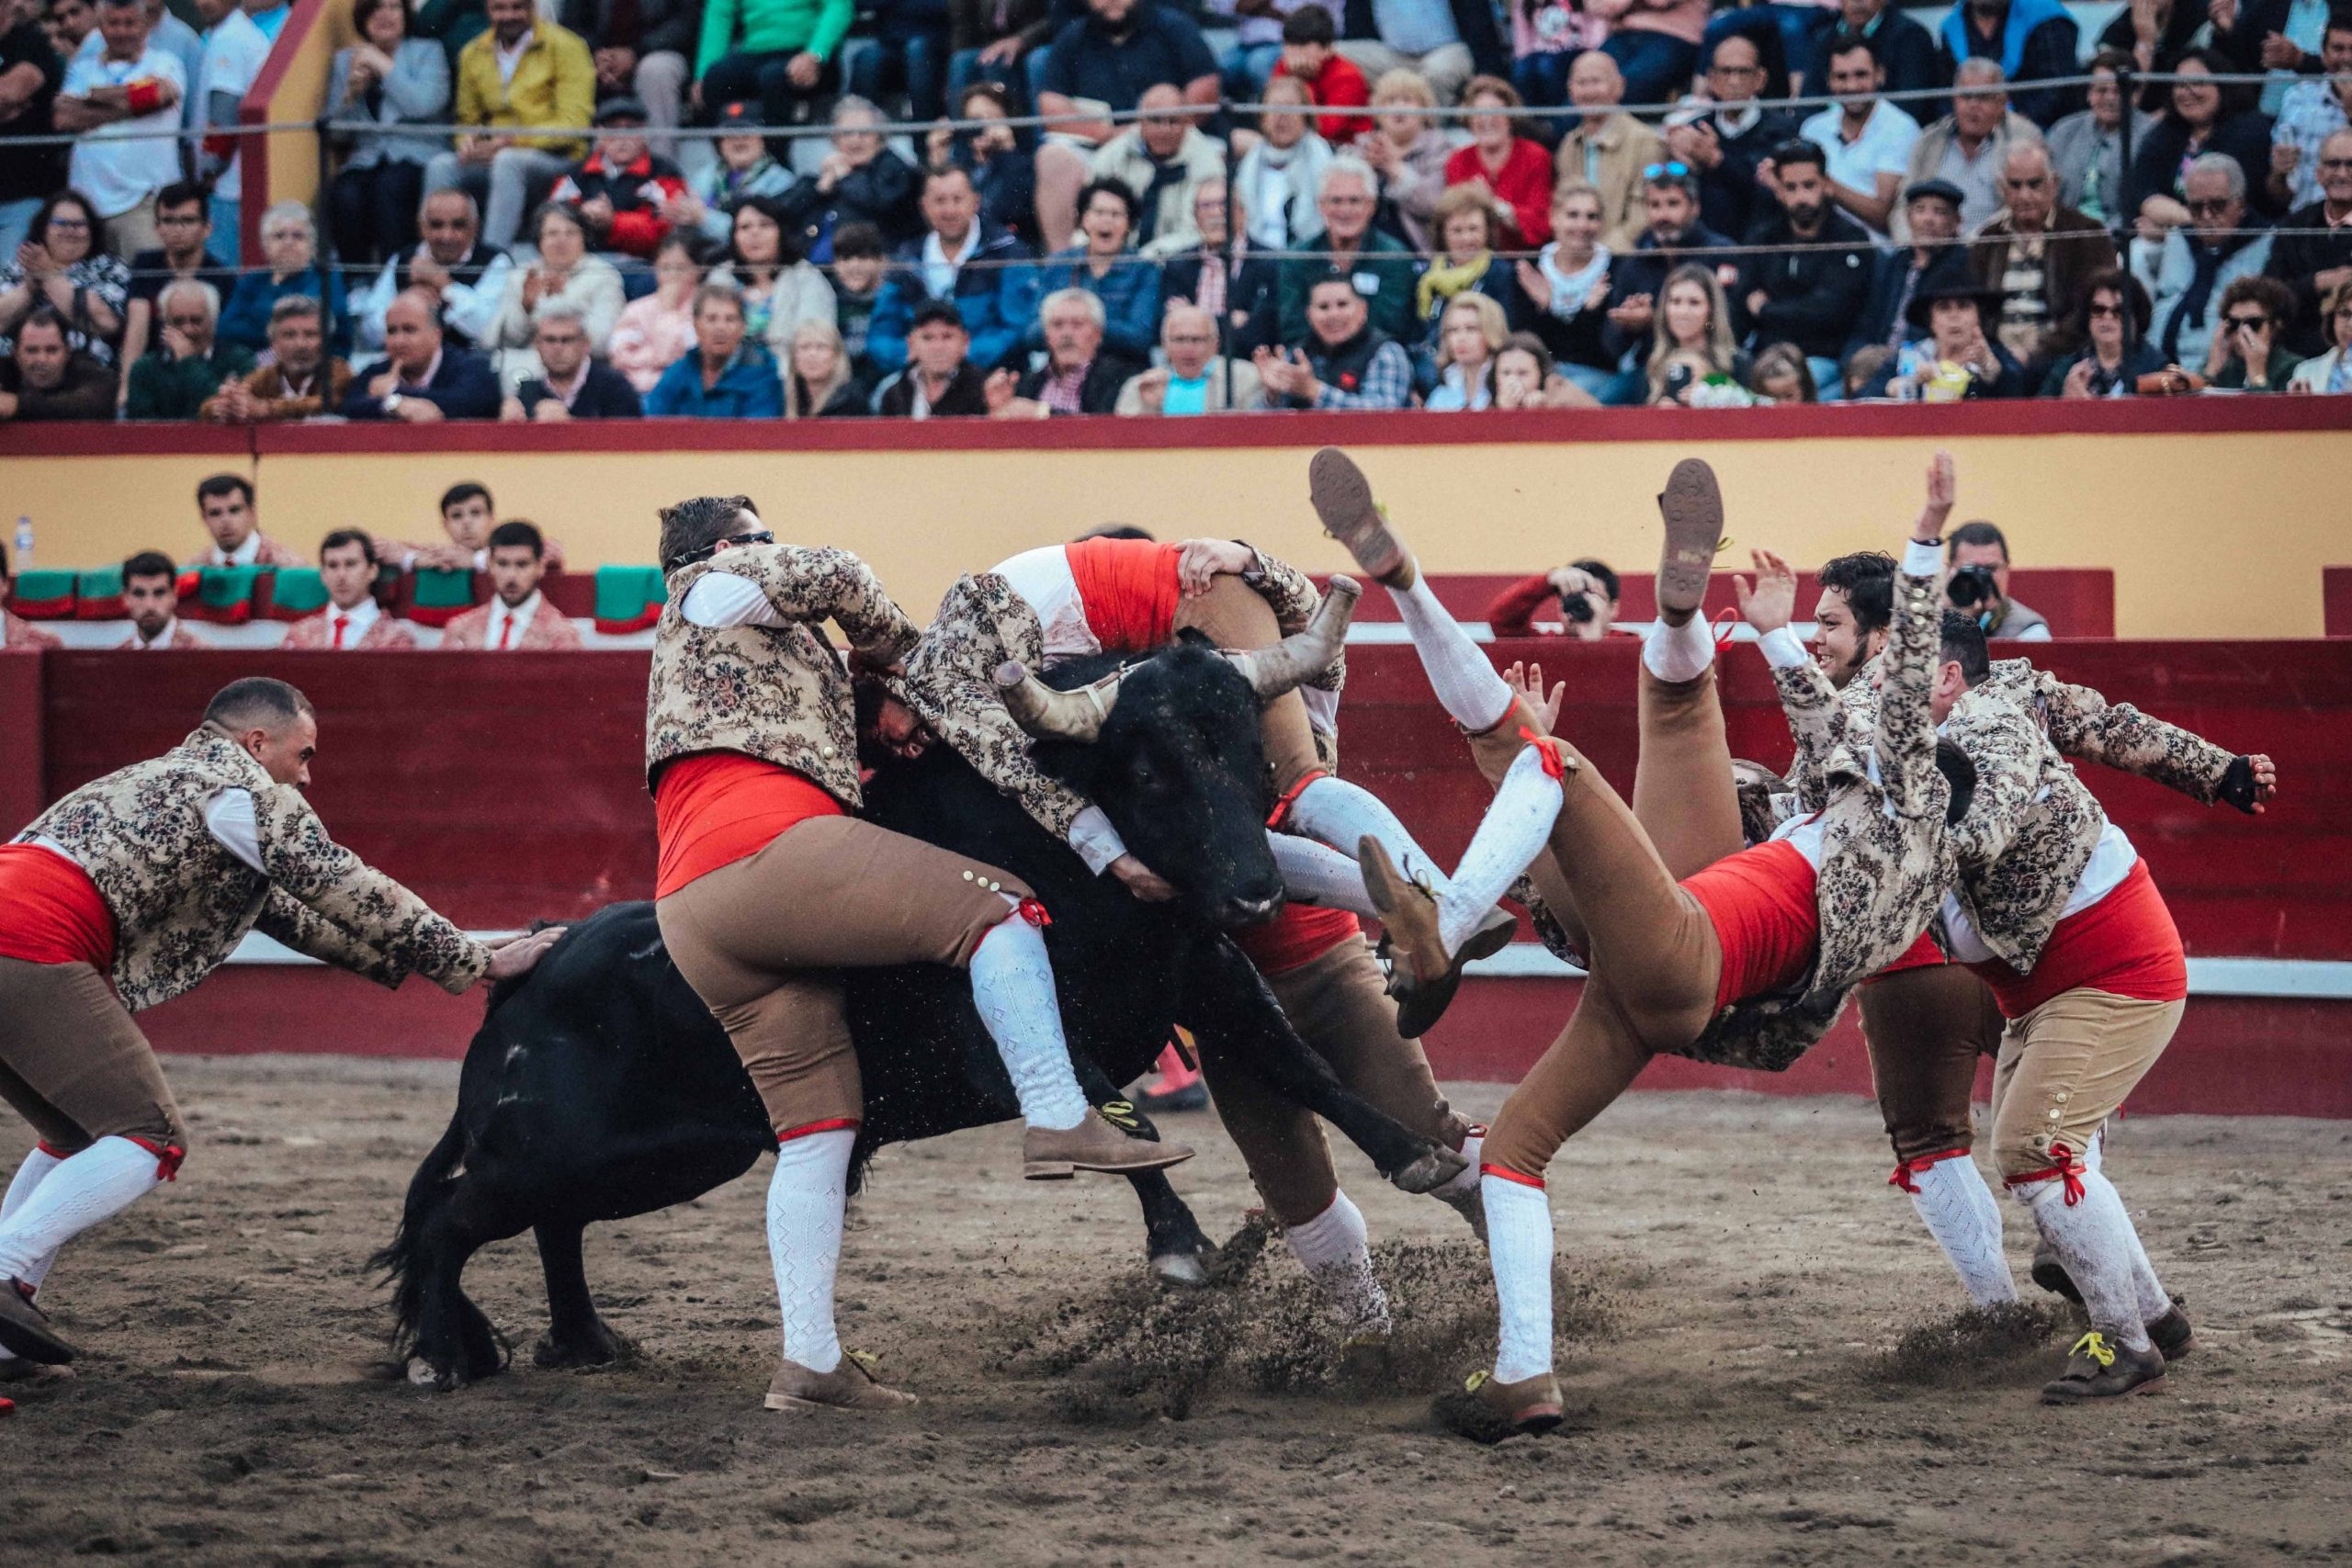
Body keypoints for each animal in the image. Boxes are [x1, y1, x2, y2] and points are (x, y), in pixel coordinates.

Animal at [377, 583, 1468, 1388]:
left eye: (1248, 753)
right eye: (1152, 770)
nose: (1255, 891)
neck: (1075, 868)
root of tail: (524, 977)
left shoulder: (1209, 979)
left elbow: (1305, 1070)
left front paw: (1420, 1153)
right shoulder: (993, 1040)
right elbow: (1107, 1110)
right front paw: (1181, 1247)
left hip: (657, 1158)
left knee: (549, 1221)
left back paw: (586, 1342)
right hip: (561, 1148)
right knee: (452, 1218)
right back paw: (440, 1357)